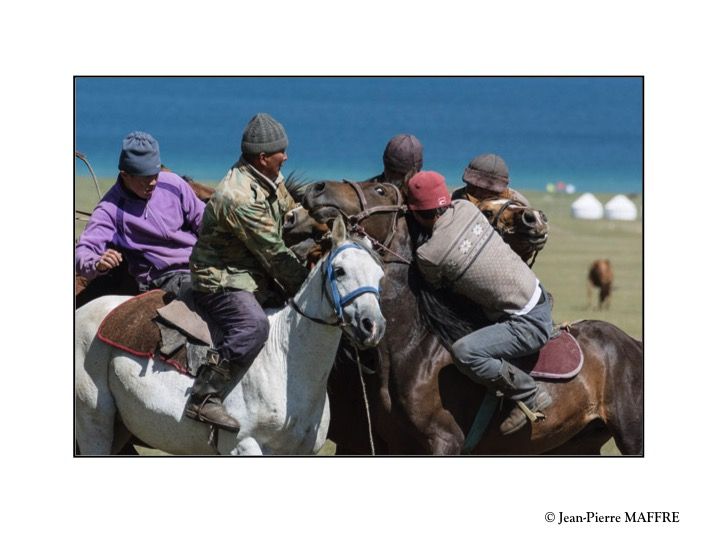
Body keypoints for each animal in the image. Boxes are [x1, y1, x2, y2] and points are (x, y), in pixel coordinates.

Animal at [75, 219, 386, 456]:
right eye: (340, 270)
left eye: (380, 276)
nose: (373, 326)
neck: (284, 360)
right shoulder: (243, 446)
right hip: (94, 422)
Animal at [296, 181, 640, 456]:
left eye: (379, 189)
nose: (317, 188)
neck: (412, 347)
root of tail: (633, 344)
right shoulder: (393, 444)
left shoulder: (444, 442)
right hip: (580, 443)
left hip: (631, 436)